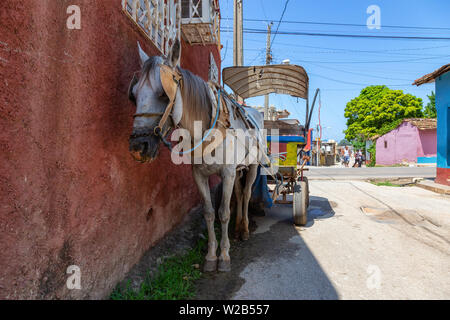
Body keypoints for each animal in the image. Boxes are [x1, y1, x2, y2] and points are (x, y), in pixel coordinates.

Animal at [126, 38, 266, 272]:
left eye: (163, 94)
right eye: (134, 94)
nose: (138, 146)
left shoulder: (227, 172)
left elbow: (223, 213)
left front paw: (224, 256)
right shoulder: (199, 174)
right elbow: (209, 213)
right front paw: (211, 256)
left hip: (252, 166)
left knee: (246, 195)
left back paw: (244, 229)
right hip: (238, 170)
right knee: (238, 194)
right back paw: (238, 228)